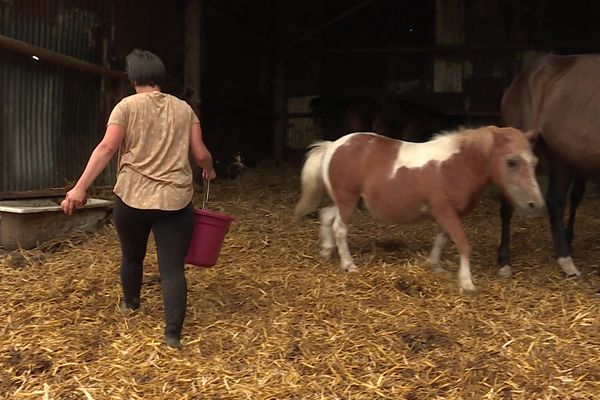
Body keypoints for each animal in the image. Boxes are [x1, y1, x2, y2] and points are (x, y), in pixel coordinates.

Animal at [296, 126, 544, 292]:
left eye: (534, 162)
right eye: (511, 161)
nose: (536, 205)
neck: (456, 165)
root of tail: (332, 145)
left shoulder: (447, 214)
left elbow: (442, 238)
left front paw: (434, 266)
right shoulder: (445, 211)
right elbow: (463, 243)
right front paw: (467, 283)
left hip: (346, 201)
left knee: (326, 215)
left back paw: (326, 251)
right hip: (347, 200)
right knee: (340, 228)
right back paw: (349, 265)